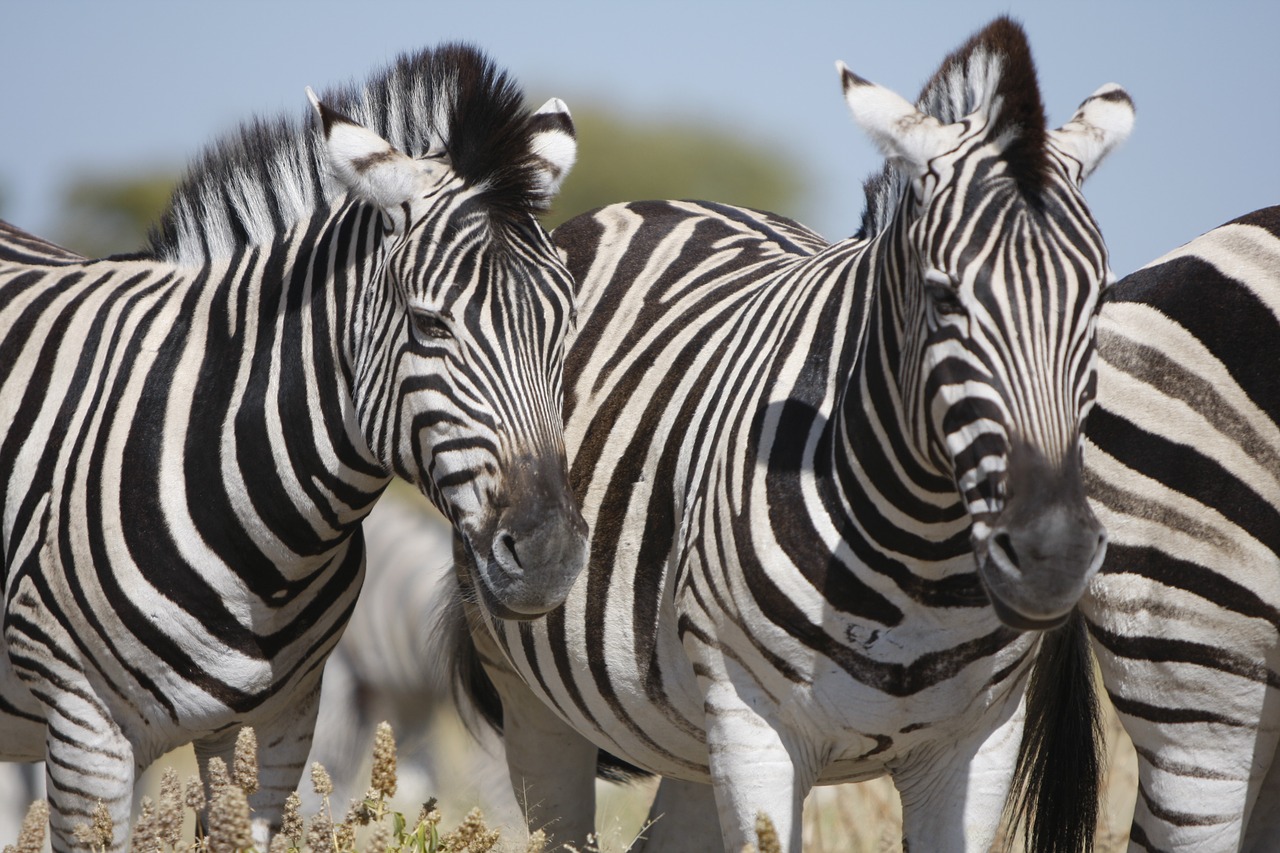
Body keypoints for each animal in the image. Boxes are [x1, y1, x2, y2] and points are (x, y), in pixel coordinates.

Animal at [455, 18, 1136, 850]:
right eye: (944, 298)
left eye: (1098, 297)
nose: (1052, 556)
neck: (922, 556)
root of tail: (666, 198)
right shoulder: (755, 730)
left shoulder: (980, 743)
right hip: (532, 686)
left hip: (689, 732)